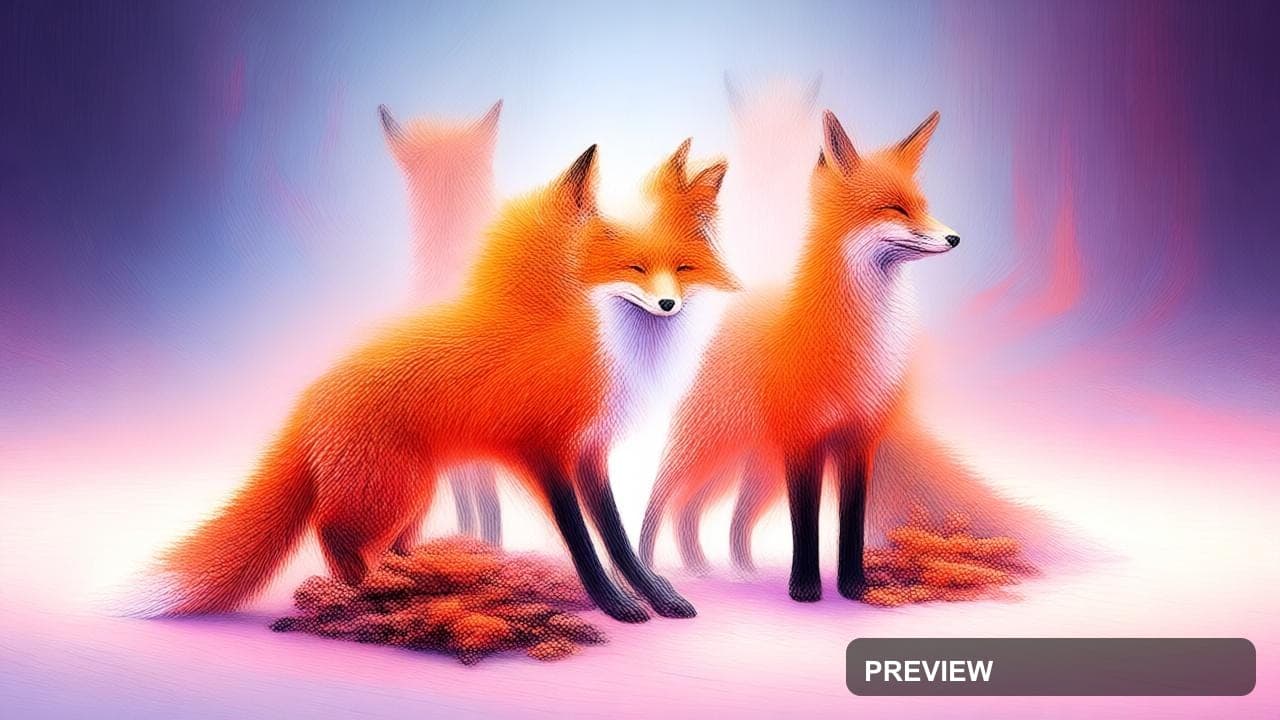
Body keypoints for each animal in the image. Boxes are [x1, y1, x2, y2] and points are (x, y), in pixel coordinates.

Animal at [639, 109, 961, 601]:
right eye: (895, 209)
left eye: (922, 206)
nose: (955, 238)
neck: (859, 344)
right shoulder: (803, 441)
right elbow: (805, 523)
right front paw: (805, 588)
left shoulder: (859, 441)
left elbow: (850, 522)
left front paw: (853, 586)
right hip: (710, 447)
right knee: (664, 499)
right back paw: (649, 567)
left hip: (756, 469)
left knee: (716, 515)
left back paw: (725, 569)